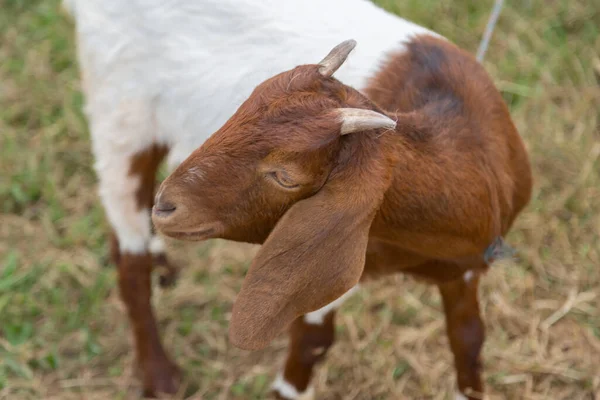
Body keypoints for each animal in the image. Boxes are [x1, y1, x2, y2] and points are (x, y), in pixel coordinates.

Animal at [64, 0, 440, 394]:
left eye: (286, 176)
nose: (170, 206)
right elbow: (313, 334)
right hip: (121, 120)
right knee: (129, 254)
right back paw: (160, 374)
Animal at [152, 38, 532, 400]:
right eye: (237, 114)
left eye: (286, 176)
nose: (166, 205)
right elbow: (311, 337)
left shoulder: (465, 268)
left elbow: (468, 339)